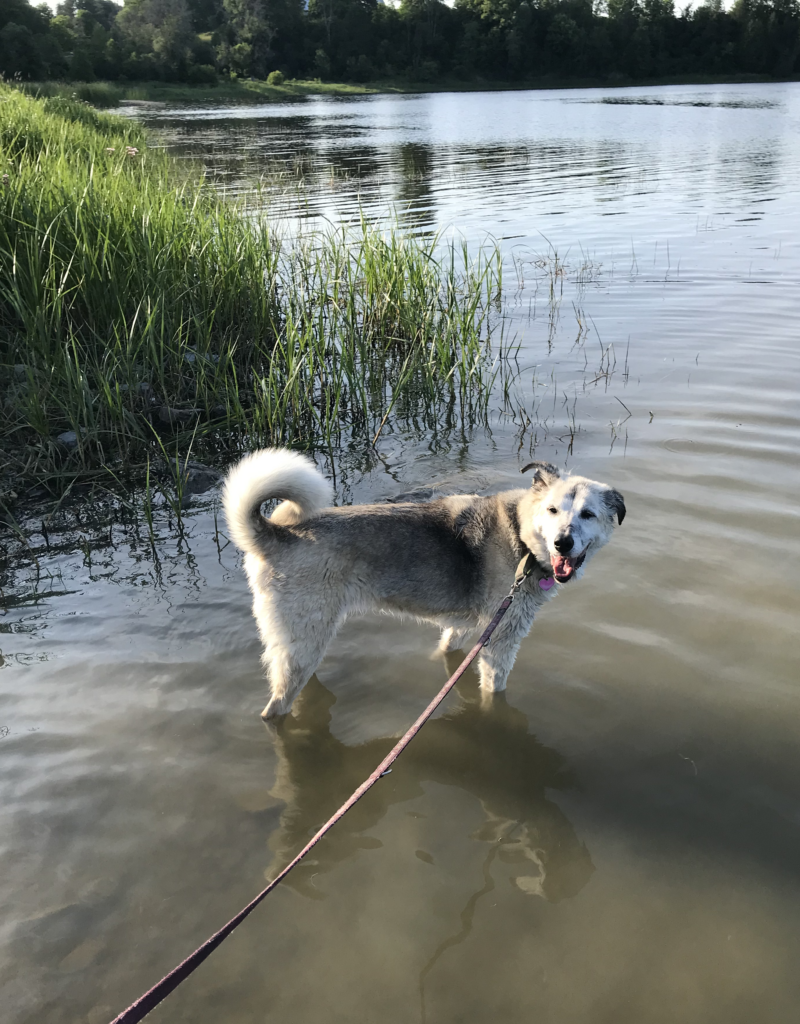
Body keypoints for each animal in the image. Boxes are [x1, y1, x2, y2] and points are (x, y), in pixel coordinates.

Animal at [223, 448, 622, 720]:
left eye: (588, 515)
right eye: (553, 510)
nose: (562, 543)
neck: (521, 535)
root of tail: (278, 533)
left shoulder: (464, 630)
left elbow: (445, 652)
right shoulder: (500, 642)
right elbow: (495, 692)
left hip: (303, 643)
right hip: (305, 643)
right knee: (274, 709)